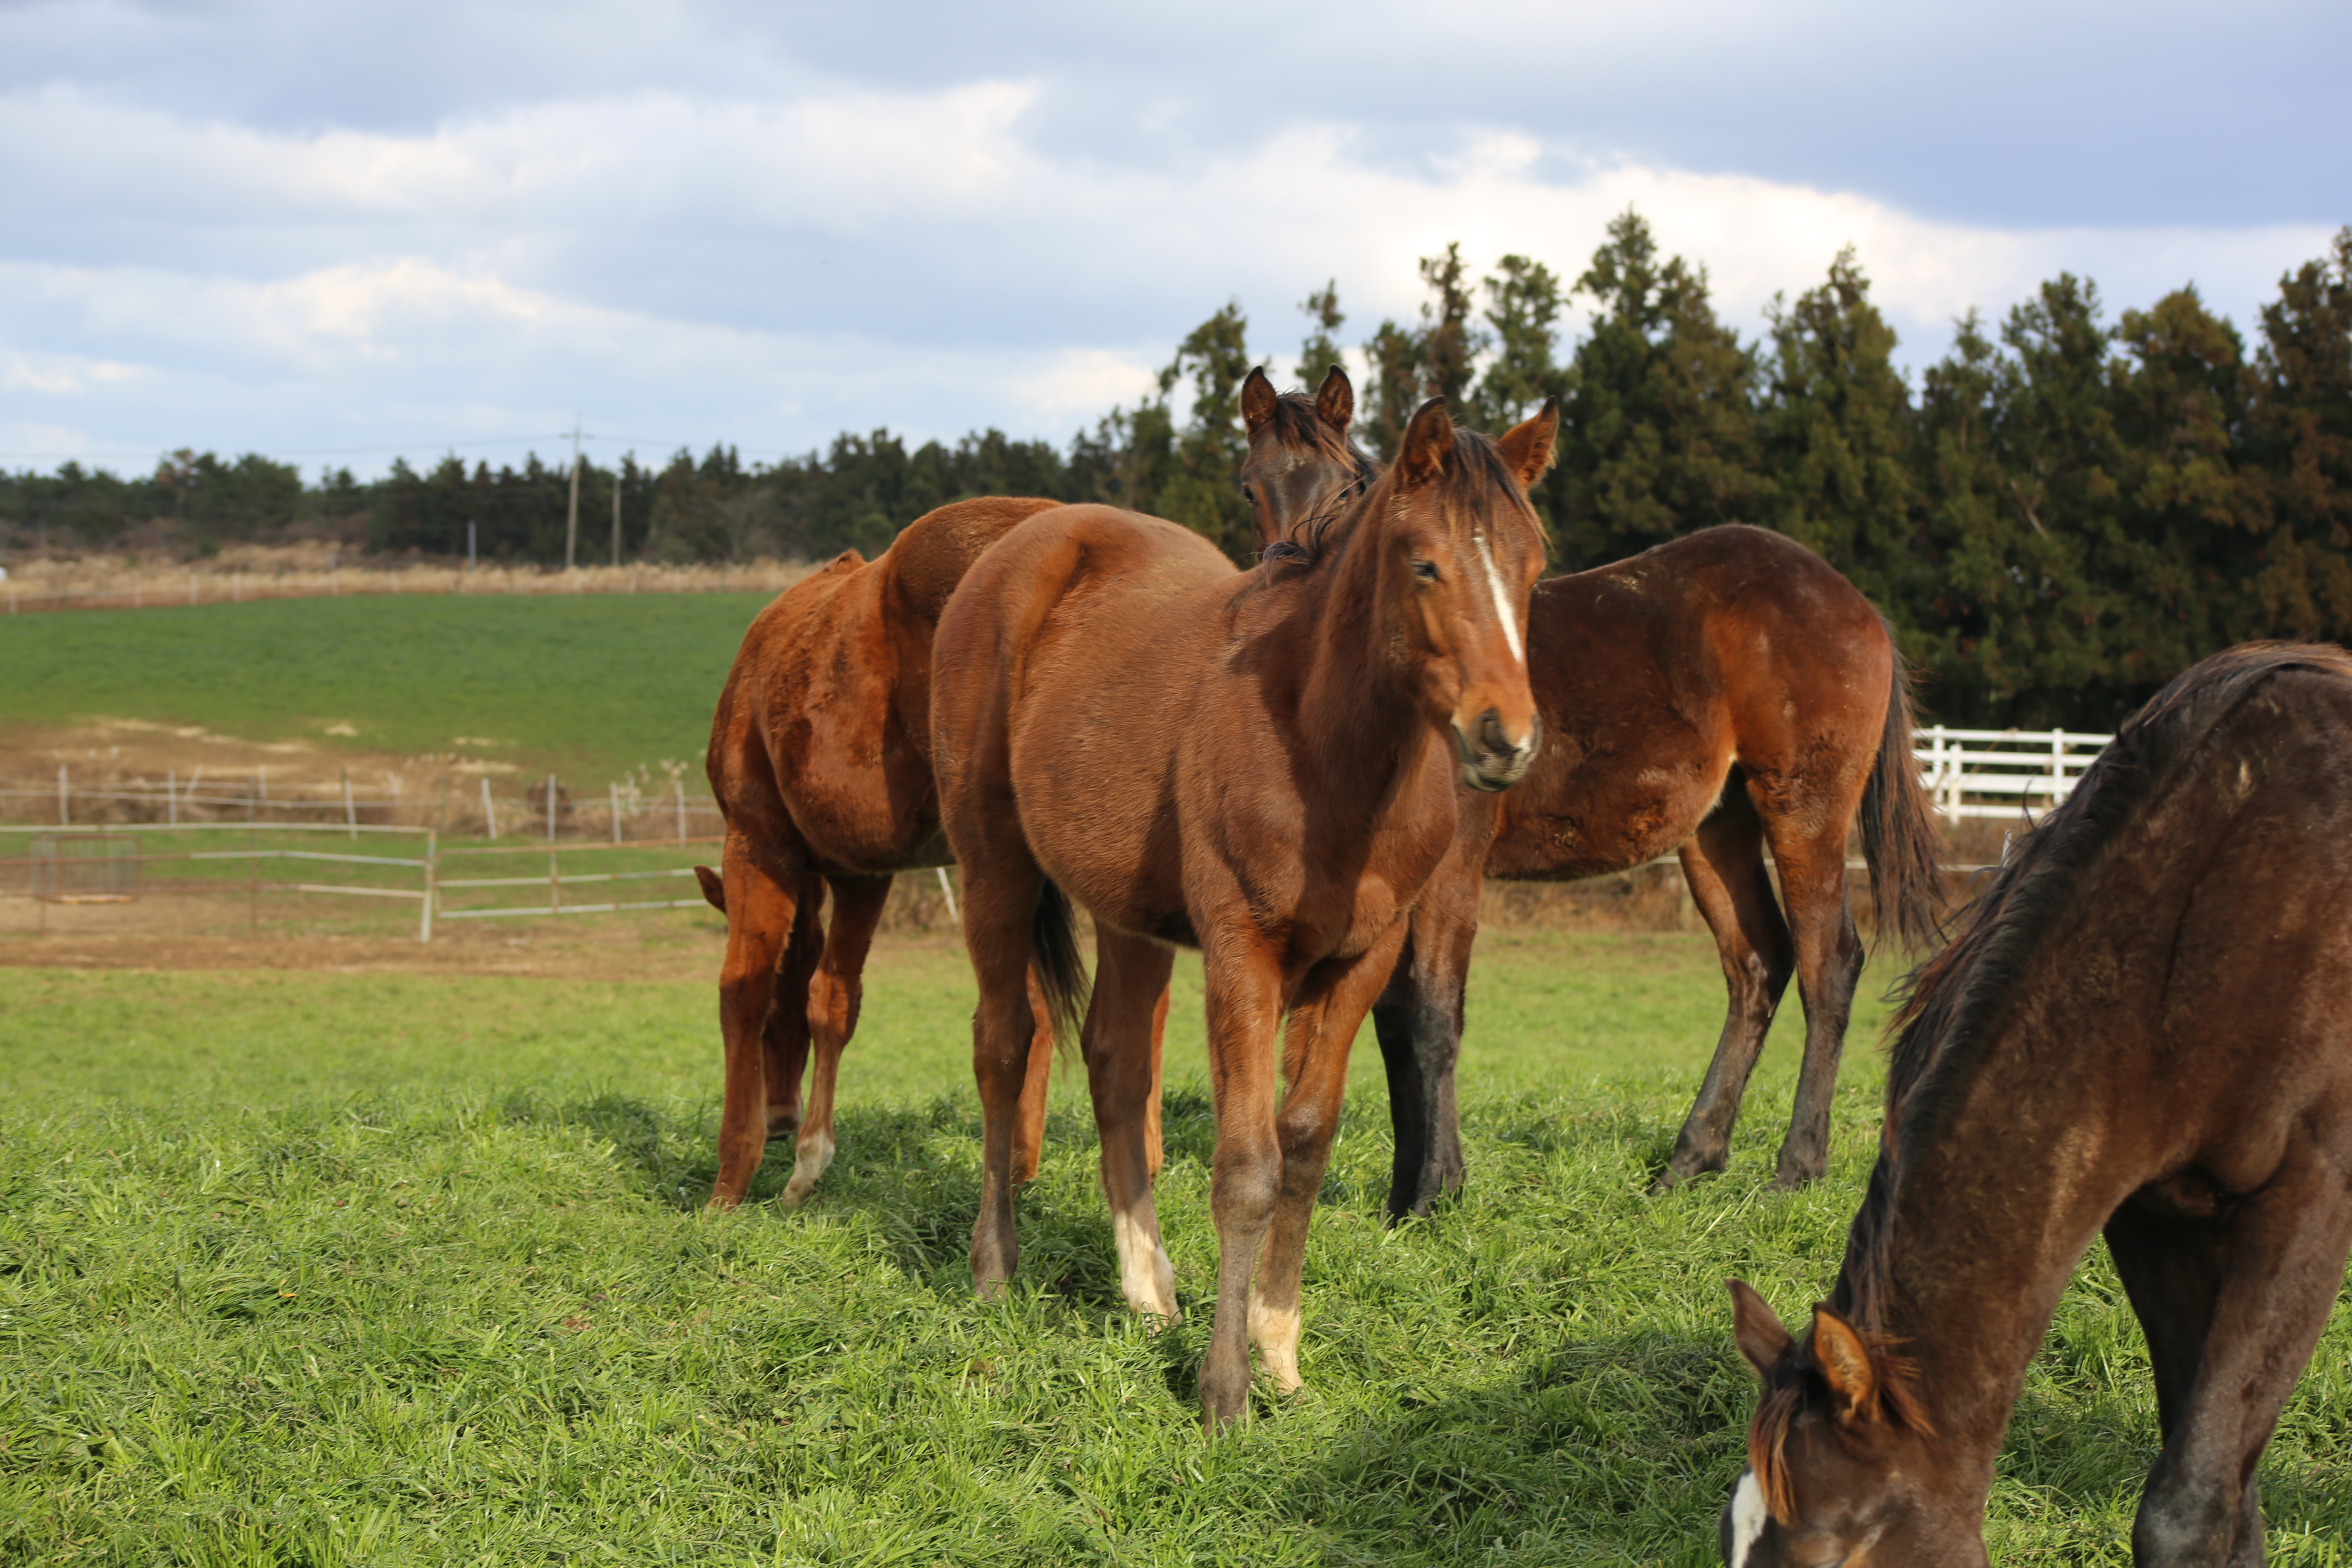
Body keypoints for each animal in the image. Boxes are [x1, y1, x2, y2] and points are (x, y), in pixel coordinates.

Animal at [701, 496, 1171, 1213]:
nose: (780, 1117)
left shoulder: (757, 844)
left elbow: (746, 991)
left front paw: (736, 1177)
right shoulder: (864, 873)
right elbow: (836, 997)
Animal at [936, 399, 1561, 1429]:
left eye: (1532, 565)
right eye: (1424, 563)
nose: (1504, 738)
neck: (1322, 744)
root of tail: (1020, 548)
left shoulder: (1359, 961)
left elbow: (1303, 1145)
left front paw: (1277, 1353)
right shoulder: (1242, 956)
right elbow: (1245, 1167)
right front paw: (1223, 1390)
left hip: (1127, 914)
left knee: (1115, 1062)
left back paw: (1148, 1290)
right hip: (992, 864)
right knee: (1002, 1042)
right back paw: (994, 1269)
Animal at [1242, 369, 1938, 1213]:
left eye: (1348, 489)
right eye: (1250, 485)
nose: (1292, 574)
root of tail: (1856, 603)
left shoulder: (1457, 864)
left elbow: (1435, 1011)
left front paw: (1437, 1191)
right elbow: (1394, 1017)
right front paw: (1408, 1191)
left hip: (1805, 808)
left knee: (1827, 962)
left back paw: (1796, 1170)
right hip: (1715, 830)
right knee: (1757, 966)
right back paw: (1687, 1163)